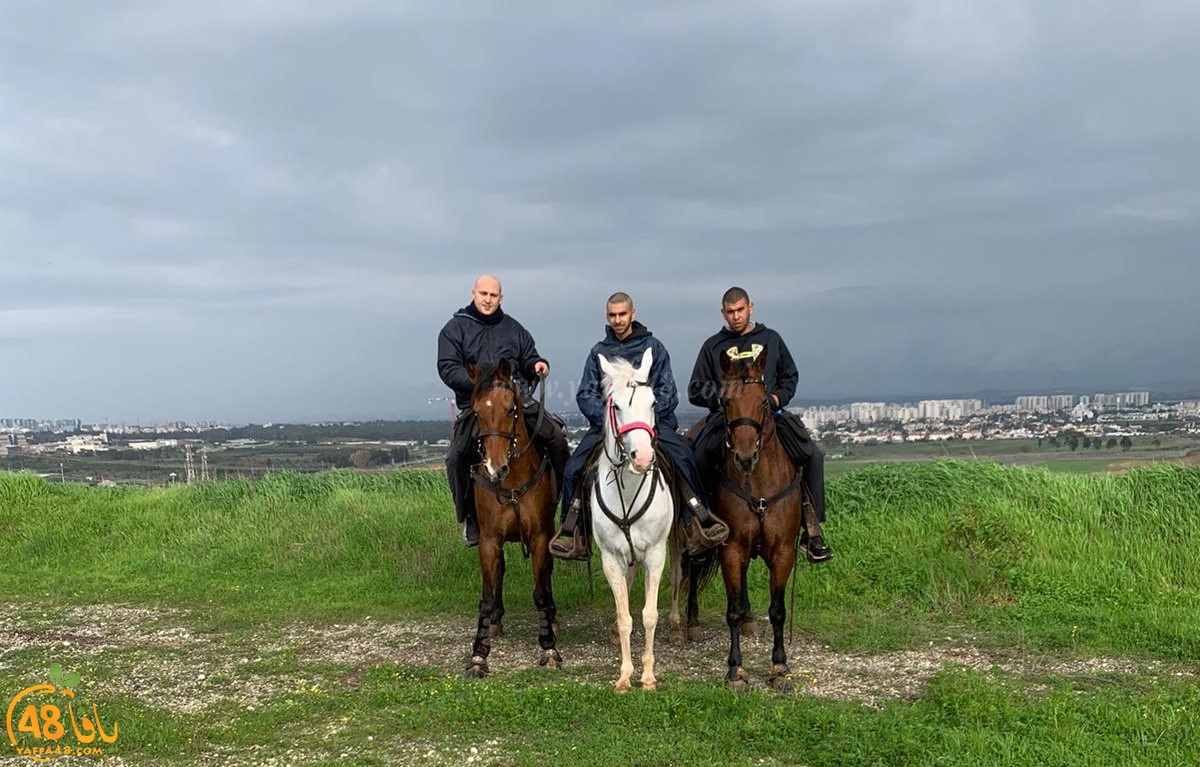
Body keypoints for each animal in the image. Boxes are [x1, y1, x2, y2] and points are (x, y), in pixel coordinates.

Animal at [465, 360, 564, 676]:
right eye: (476, 412)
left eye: (511, 409)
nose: (496, 468)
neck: (510, 484)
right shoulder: (489, 540)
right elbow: (486, 596)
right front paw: (479, 655)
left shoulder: (540, 537)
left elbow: (541, 591)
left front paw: (549, 648)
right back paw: (497, 619)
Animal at [705, 345, 820, 691]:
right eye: (725, 402)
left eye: (765, 402)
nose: (745, 456)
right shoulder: (731, 550)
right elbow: (732, 609)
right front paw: (735, 670)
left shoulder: (782, 552)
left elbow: (778, 610)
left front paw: (779, 667)